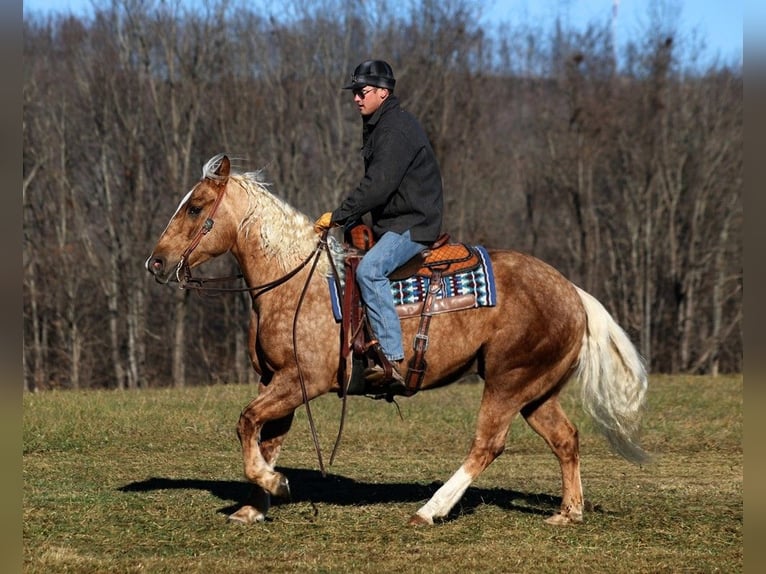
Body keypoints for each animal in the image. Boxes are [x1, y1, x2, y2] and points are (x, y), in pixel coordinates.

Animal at [147, 153, 652, 528]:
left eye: (195, 207)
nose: (156, 262)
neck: (292, 281)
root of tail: (572, 292)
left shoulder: (302, 380)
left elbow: (246, 423)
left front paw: (276, 485)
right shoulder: (275, 381)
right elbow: (264, 437)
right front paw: (255, 505)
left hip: (508, 382)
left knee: (487, 445)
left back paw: (430, 510)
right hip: (535, 390)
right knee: (566, 438)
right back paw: (568, 512)